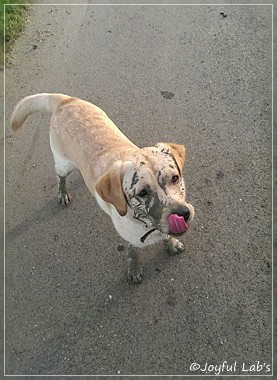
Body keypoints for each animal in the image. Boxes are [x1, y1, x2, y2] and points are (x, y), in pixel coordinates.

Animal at [10, 93, 194, 282]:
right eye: (142, 192)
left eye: (175, 178)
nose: (183, 214)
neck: (146, 224)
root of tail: (65, 100)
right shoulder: (130, 238)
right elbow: (133, 253)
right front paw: (134, 270)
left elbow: (167, 236)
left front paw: (171, 244)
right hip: (63, 163)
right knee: (60, 177)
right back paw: (63, 193)